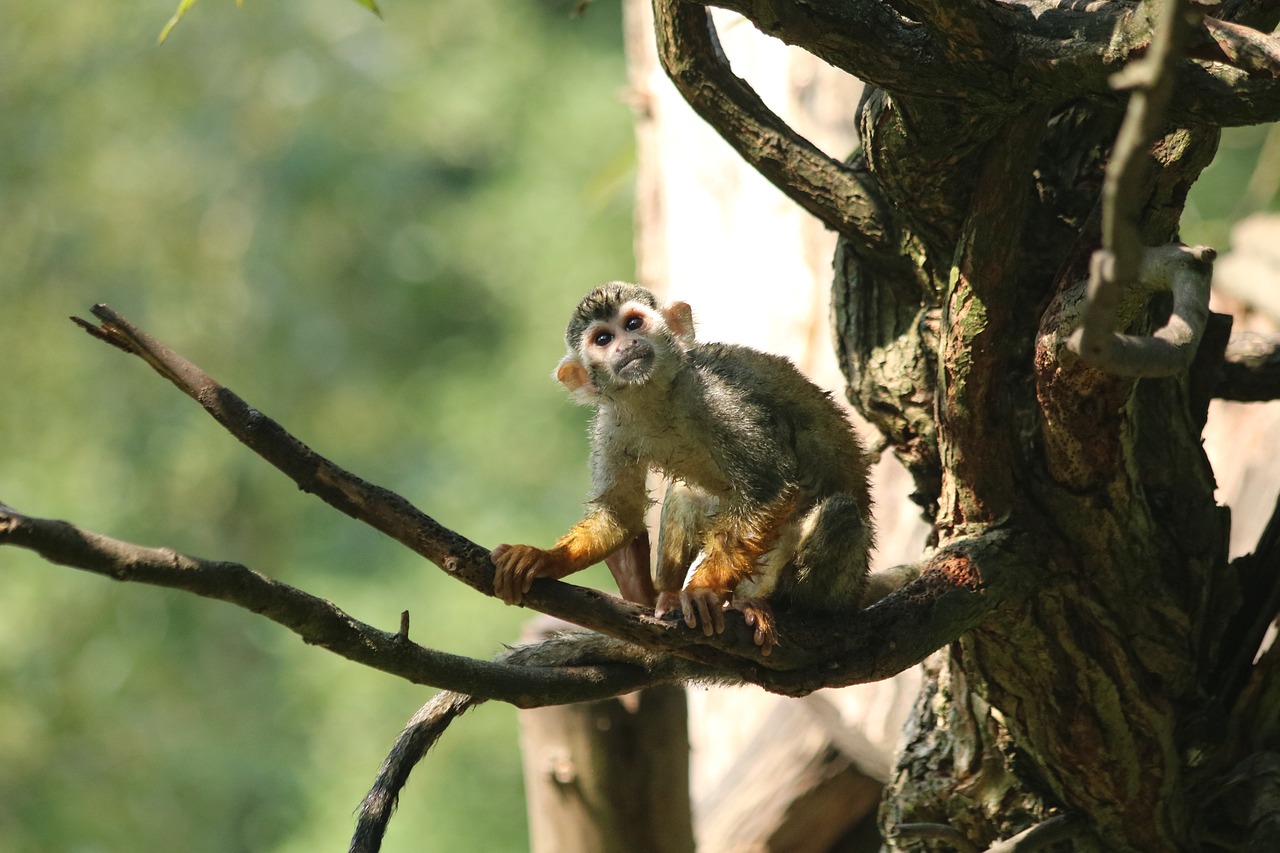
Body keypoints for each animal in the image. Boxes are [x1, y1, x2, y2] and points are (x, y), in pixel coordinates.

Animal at [488, 281, 870, 648]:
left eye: (632, 324)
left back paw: (767, 604)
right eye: (603, 339)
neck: (654, 397)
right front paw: (544, 559)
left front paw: (703, 589)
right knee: (688, 493)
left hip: (844, 587)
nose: (628, 345)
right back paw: (653, 590)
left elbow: (770, 486)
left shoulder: (717, 397)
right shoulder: (610, 426)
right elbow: (620, 513)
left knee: (839, 512)